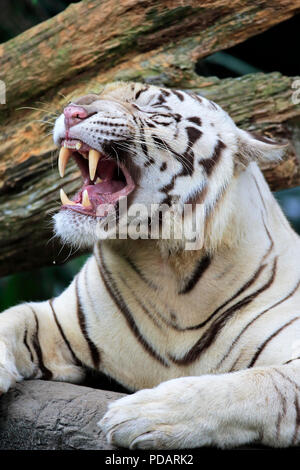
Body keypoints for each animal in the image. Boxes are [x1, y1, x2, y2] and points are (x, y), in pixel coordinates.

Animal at [0, 81, 300, 448]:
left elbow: (253, 384)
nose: (72, 111)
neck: (170, 269)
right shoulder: (56, 319)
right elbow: (12, 318)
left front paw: (143, 414)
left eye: (152, 108)